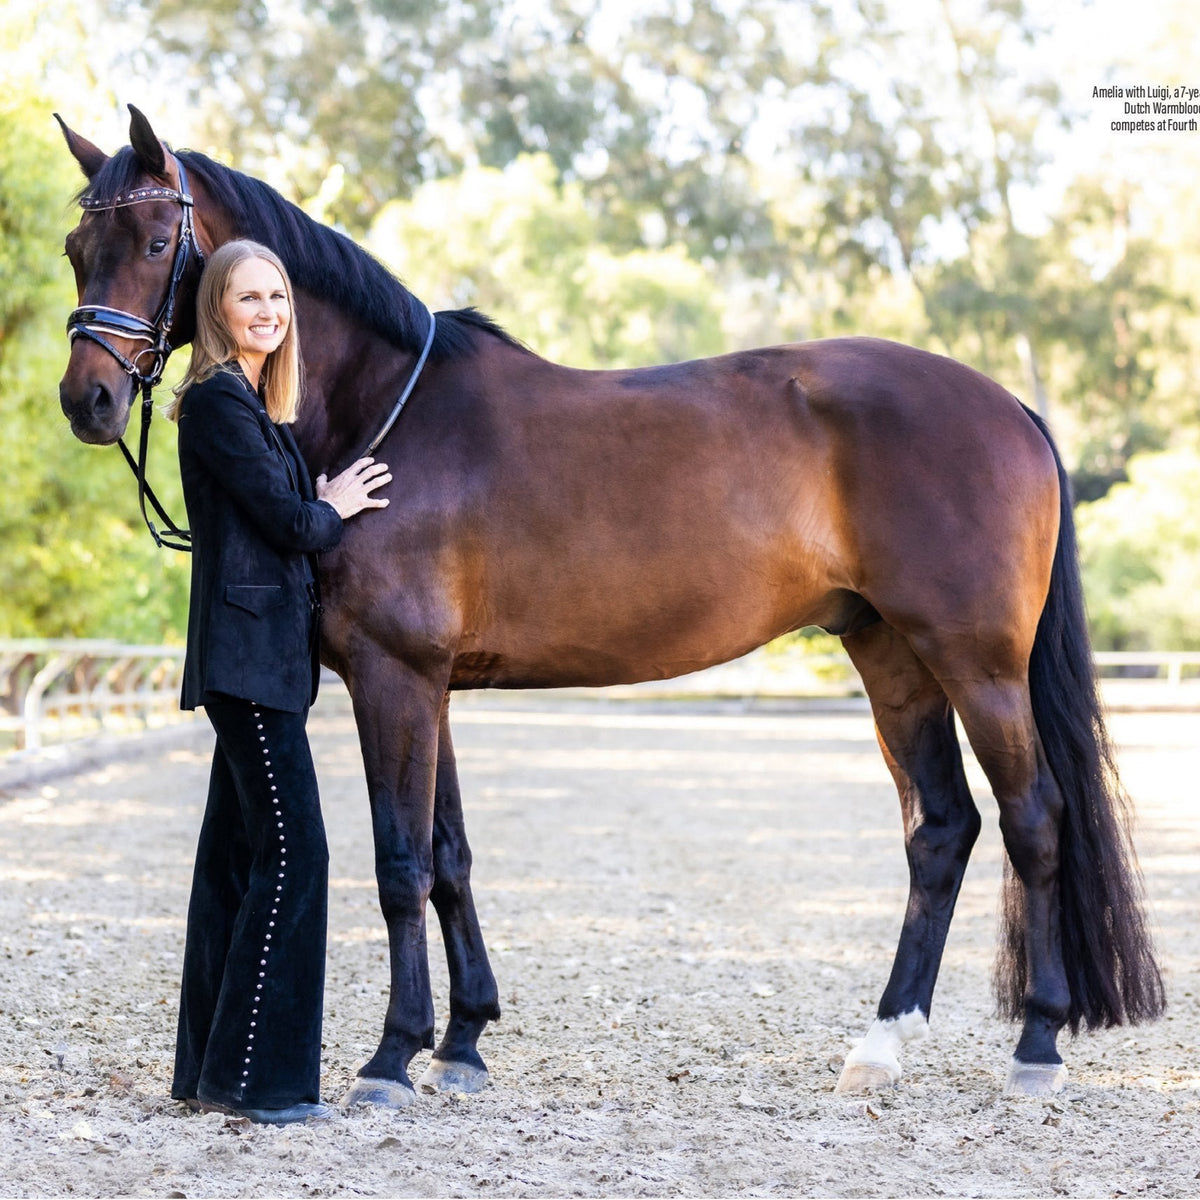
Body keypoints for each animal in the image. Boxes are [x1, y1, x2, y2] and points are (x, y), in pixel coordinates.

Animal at [54, 108, 1161, 1108]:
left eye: (157, 243)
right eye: (76, 249)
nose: (86, 401)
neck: (387, 410)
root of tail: (1009, 408)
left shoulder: (392, 675)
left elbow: (400, 862)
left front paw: (390, 1058)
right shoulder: (429, 683)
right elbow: (449, 857)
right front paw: (462, 1043)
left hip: (977, 661)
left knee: (1034, 819)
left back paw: (1037, 1046)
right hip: (890, 653)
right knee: (941, 830)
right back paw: (880, 1048)